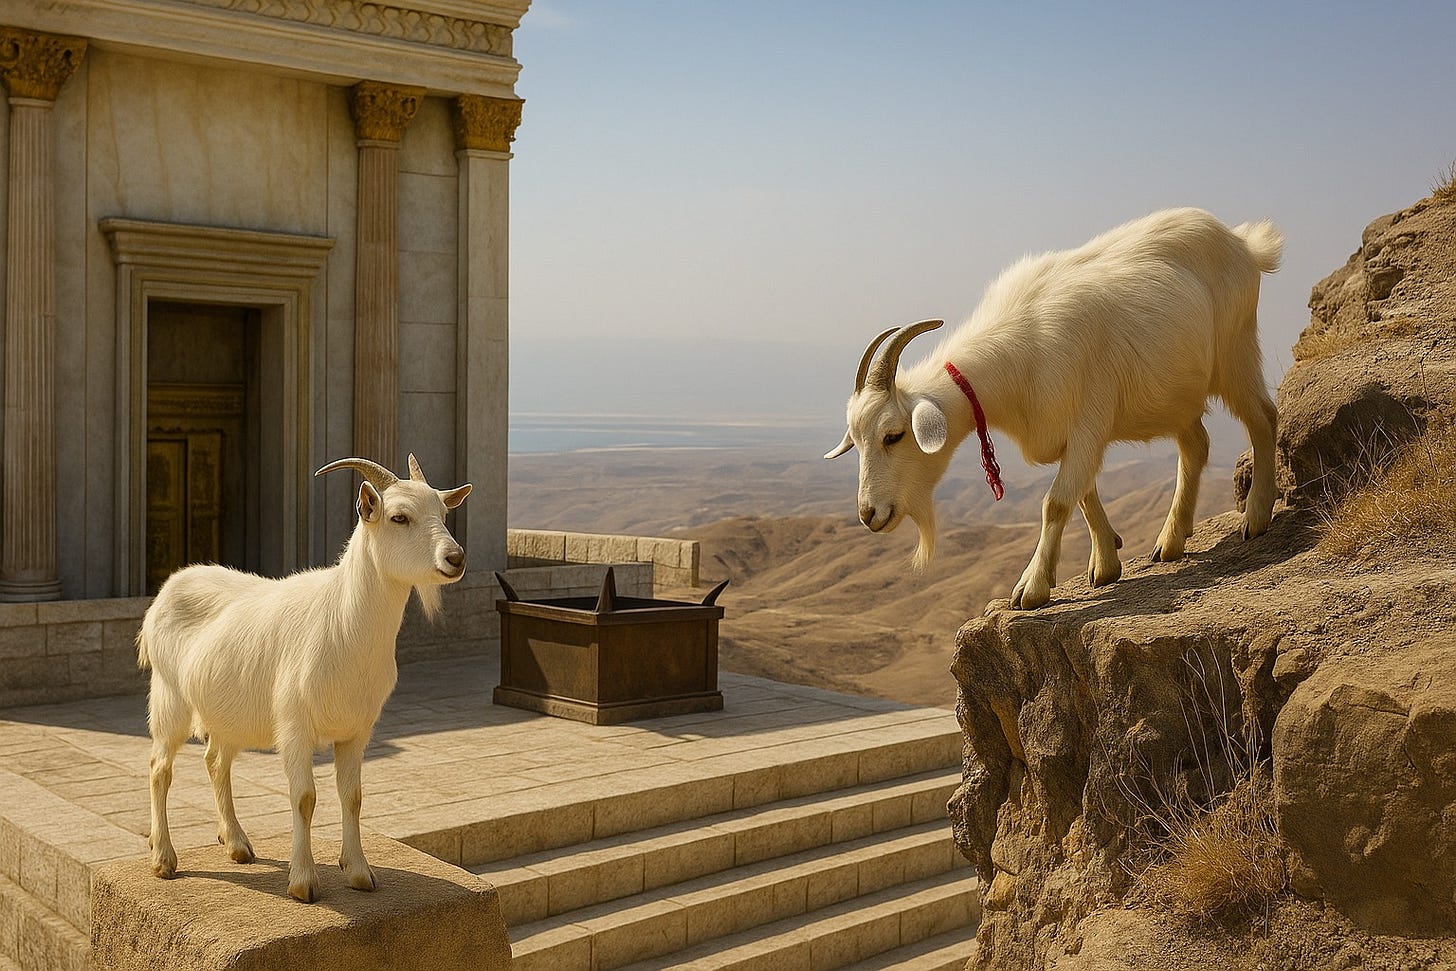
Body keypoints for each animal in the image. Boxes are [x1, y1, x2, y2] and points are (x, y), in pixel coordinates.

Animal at [137, 454, 470, 902]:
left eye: (444, 513)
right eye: (399, 517)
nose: (455, 558)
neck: (344, 623)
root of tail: (170, 586)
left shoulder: (357, 731)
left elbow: (353, 796)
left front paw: (359, 872)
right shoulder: (295, 725)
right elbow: (304, 797)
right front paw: (303, 882)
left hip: (230, 713)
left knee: (215, 761)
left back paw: (237, 844)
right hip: (170, 696)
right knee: (161, 767)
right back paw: (163, 859)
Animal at [826, 207, 1281, 610]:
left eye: (893, 435)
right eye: (858, 443)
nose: (868, 514)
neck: (1017, 351)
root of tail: (1245, 243)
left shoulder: (1089, 420)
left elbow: (1057, 502)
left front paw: (1032, 587)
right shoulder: (1069, 434)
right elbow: (1083, 494)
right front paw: (1106, 561)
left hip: (1236, 352)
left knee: (1263, 417)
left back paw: (1256, 516)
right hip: (1176, 395)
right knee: (1195, 445)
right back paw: (1171, 540)